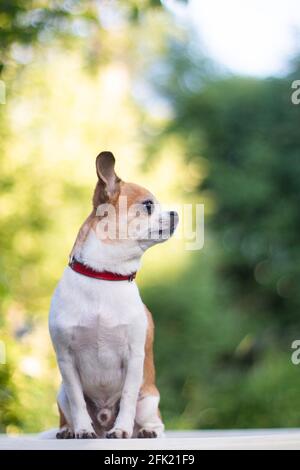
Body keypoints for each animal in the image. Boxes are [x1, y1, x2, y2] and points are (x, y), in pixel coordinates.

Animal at [49, 152, 178, 438]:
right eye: (148, 205)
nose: (176, 212)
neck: (105, 276)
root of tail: (104, 417)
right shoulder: (66, 359)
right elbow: (77, 399)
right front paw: (82, 430)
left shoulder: (134, 358)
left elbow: (128, 397)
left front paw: (121, 430)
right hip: (60, 393)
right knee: (69, 409)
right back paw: (70, 430)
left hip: (149, 399)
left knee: (154, 419)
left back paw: (145, 431)